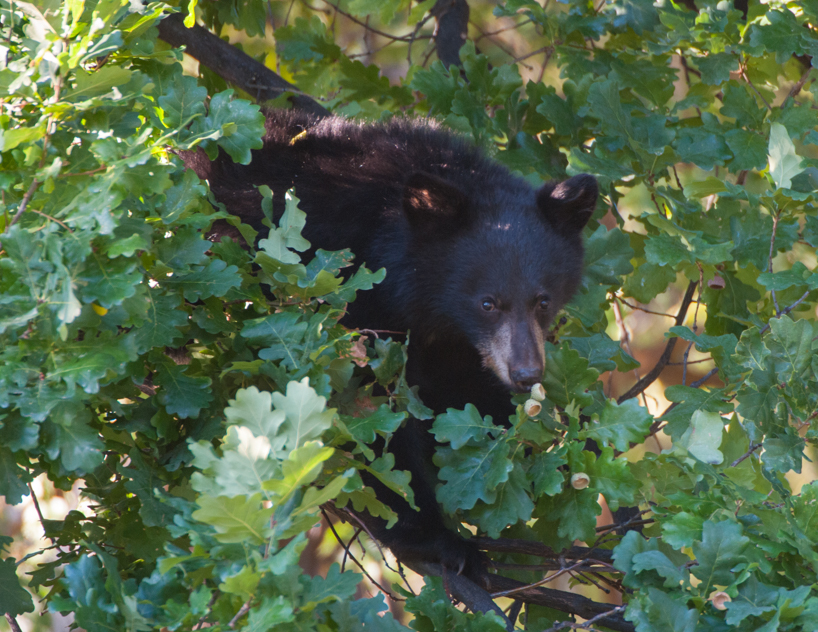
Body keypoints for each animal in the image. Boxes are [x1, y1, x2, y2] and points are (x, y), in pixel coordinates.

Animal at [182, 109, 598, 578]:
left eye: (543, 300)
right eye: (488, 302)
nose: (527, 373)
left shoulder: (450, 341)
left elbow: (457, 389)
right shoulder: (350, 302)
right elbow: (364, 419)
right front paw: (439, 538)